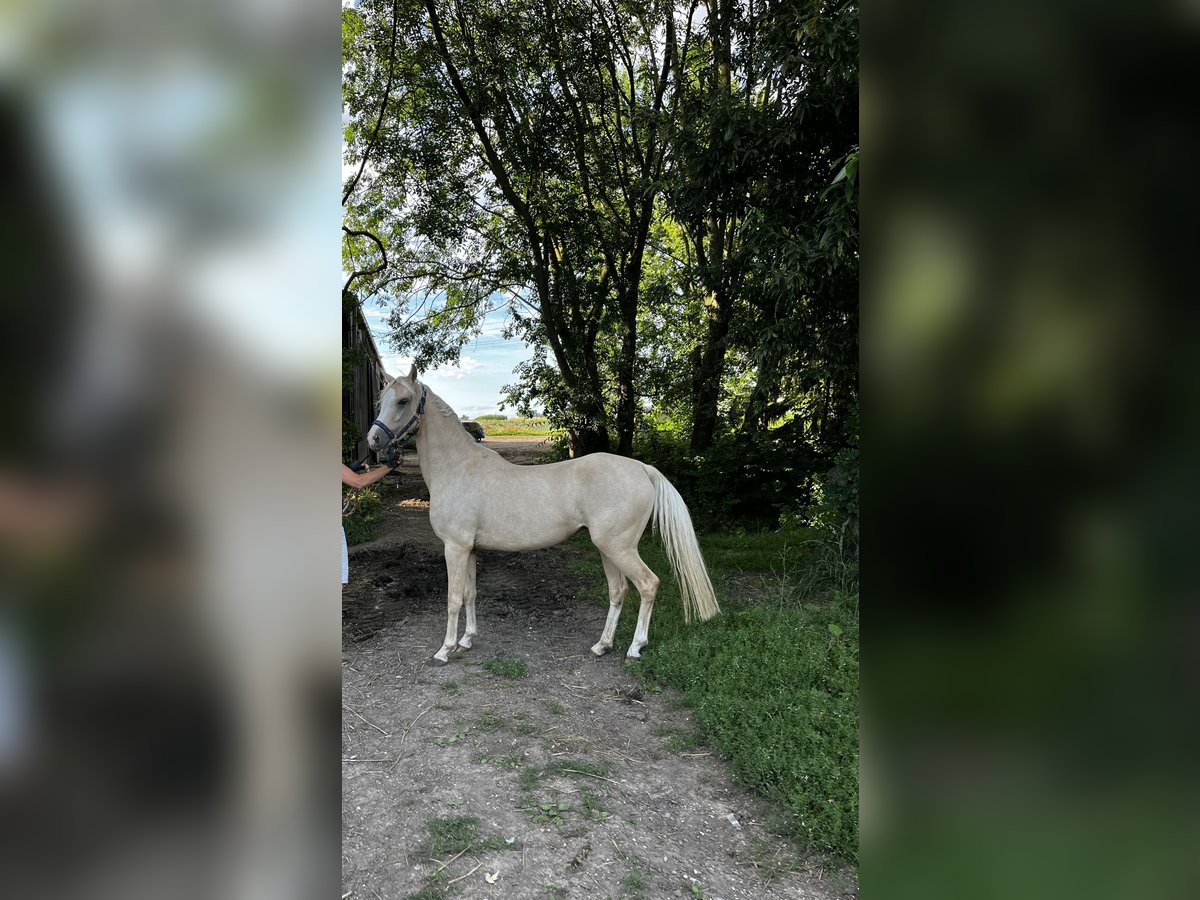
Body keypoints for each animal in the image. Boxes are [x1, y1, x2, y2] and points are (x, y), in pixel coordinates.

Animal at [369, 362, 715, 667]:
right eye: (381, 400)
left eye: (403, 401)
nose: (374, 440)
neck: (458, 468)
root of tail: (642, 469)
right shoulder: (469, 549)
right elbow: (470, 593)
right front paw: (466, 641)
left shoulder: (454, 547)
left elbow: (453, 599)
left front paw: (444, 650)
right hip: (608, 549)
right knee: (618, 591)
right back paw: (602, 645)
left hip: (620, 548)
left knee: (648, 585)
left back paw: (635, 648)